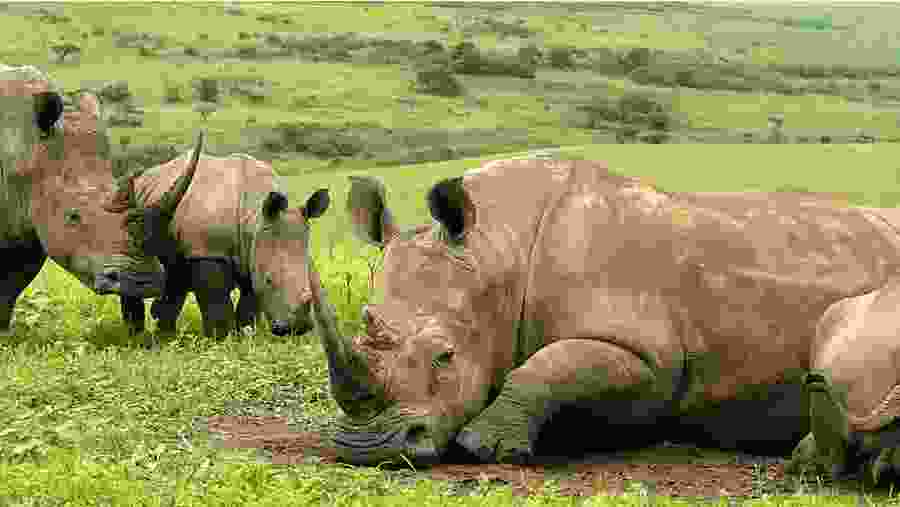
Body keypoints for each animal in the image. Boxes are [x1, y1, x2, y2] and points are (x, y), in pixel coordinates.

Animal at [106, 152, 331, 338]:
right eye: (269, 280)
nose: (297, 328)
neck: (255, 217)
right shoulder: (207, 251)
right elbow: (216, 303)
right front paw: (221, 340)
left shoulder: (252, 253)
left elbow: (249, 303)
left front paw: (245, 337)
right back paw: (137, 336)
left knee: (175, 273)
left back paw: (164, 336)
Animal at [310, 158, 900, 483]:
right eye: (365, 326)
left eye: (445, 357)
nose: (366, 449)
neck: (498, 248)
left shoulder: (649, 357)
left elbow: (550, 367)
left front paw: (486, 447)